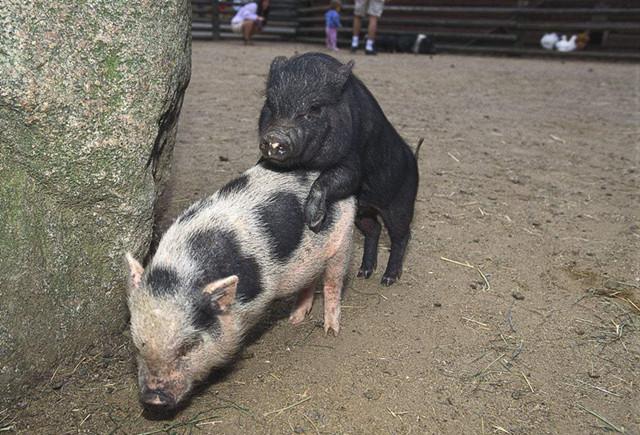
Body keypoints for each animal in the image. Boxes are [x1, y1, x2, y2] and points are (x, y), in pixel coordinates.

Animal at [258, 52, 420, 286]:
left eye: (314, 108)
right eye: (270, 102)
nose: (274, 138)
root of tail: (413, 158)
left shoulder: (352, 163)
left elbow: (335, 179)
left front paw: (314, 221)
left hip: (401, 203)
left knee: (401, 236)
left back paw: (387, 279)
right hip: (364, 211)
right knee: (374, 229)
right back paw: (364, 272)